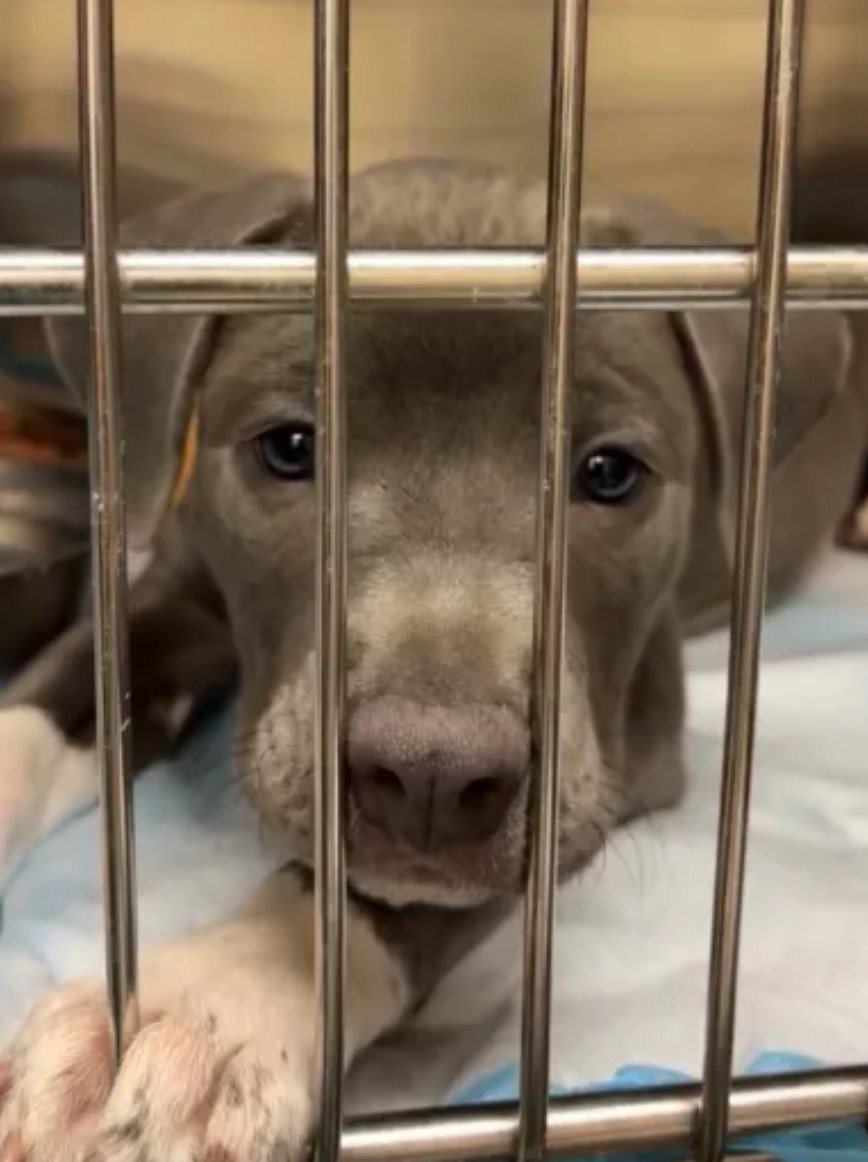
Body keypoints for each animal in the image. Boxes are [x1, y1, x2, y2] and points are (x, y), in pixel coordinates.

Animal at [0, 161, 864, 1162]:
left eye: (611, 473)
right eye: (290, 447)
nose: (430, 777)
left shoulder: (623, 752)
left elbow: (380, 903)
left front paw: (212, 1004)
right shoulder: (174, 593)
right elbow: (46, 704)